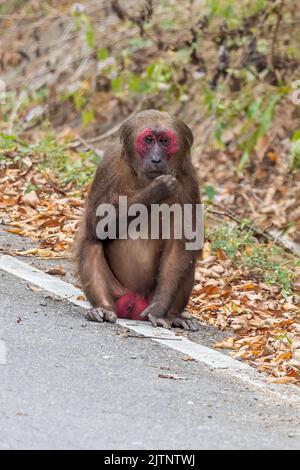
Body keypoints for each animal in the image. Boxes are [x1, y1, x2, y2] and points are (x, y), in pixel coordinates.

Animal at [75, 109, 202, 330]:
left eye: (165, 141)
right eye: (149, 140)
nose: (156, 159)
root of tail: (136, 300)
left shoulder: (189, 178)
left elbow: (181, 244)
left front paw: (159, 310)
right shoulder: (109, 165)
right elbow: (96, 226)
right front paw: (157, 189)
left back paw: (174, 314)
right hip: (119, 293)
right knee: (91, 243)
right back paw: (103, 308)